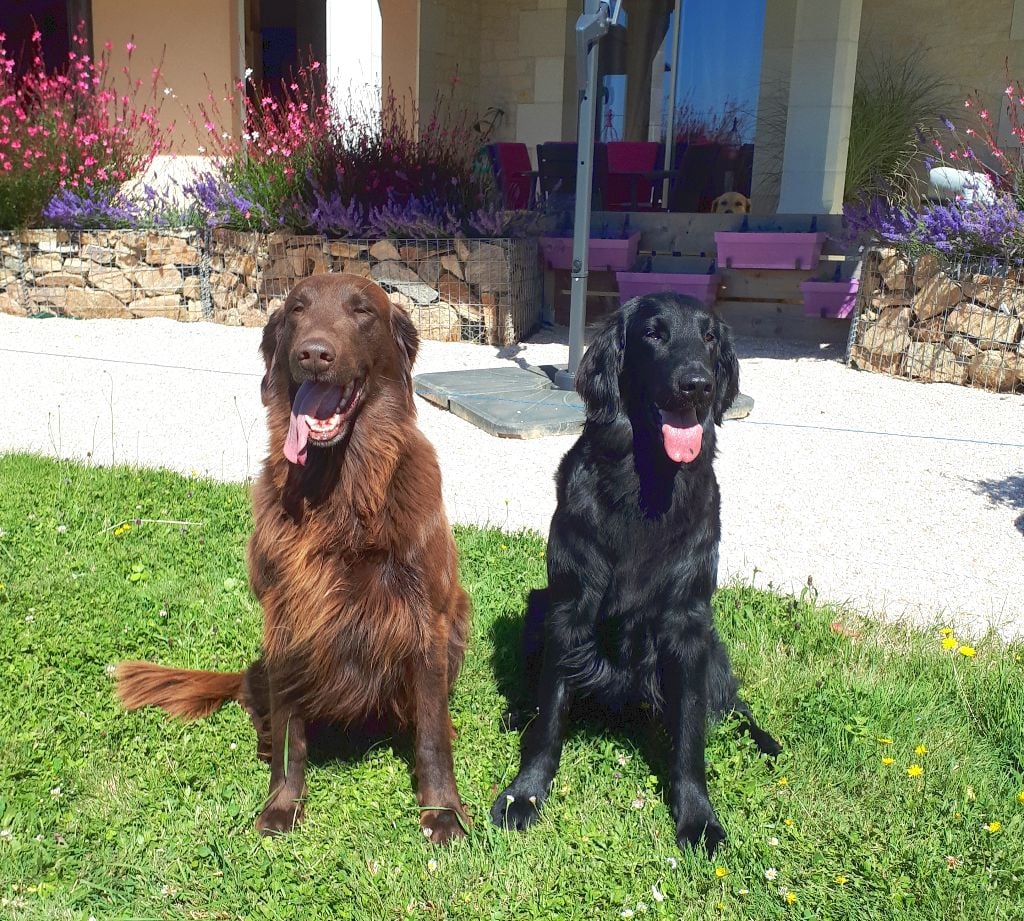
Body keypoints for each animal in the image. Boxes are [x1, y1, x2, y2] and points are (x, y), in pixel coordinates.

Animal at [117, 272, 471, 844]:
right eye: (298, 309)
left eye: (362, 311)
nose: (315, 354)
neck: (341, 491)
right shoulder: (287, 614)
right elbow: (290, 733)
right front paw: (283, 803)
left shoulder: (427, 616)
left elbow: (432, 735)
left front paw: (443, 812)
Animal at [491, 290, 778, 852]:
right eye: (653, 334)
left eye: (709, 337)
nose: (697, 384)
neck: (645, 483)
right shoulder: (568, 608)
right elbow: (551, 715)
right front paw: (526, 793)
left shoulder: (688, 625)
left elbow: (691, 735)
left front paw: (697, 816)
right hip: (538, 605)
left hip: (713, 648)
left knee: (732, 704)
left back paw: (764, 739)